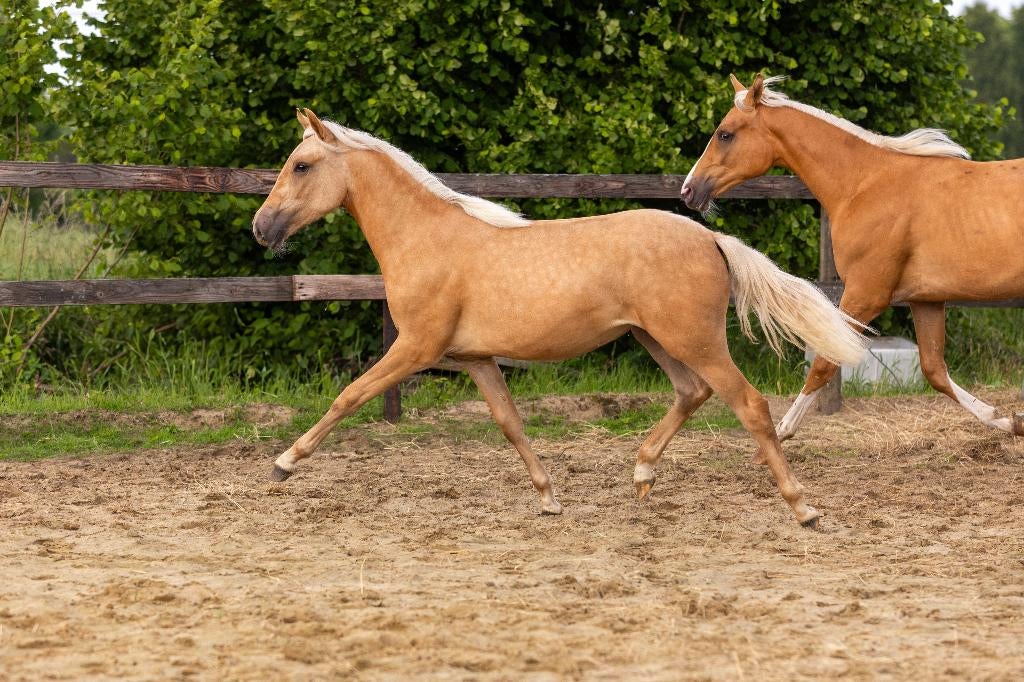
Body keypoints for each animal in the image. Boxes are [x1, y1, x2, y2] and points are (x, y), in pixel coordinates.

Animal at [251, 108, 867, 526]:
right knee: (693, 393)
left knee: (750, 405)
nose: (261, 228)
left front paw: (283, 464)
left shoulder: (416, 348)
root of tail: (710, 237)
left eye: (301, 165)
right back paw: (641, 474)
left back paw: (803, 508)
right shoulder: (476, 359)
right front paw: (549, 498)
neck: (427, 239)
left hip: (695, 340)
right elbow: (509, 423)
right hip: (656, 338)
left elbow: (348, 396)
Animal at [682, 74, 1024, 441]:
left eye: (725, 134)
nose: (688, 189)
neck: (863, 184)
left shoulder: (866, 294)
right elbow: (935, 370)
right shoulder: (926, 300)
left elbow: (824, 362)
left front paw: (783, 431)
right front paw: (1009, 421)